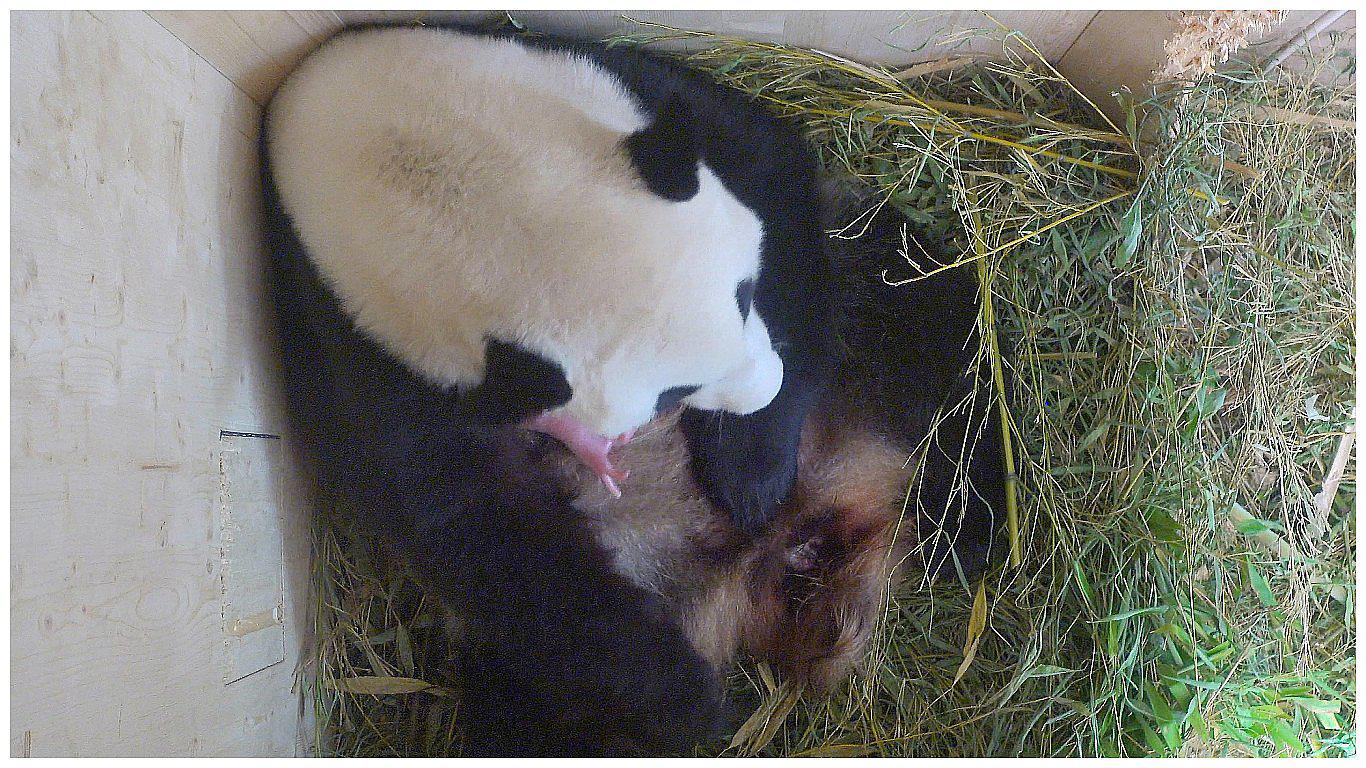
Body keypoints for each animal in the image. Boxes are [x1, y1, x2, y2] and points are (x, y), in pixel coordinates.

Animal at [261, 22, 833, 757]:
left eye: (742, 292)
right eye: (670, 392)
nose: (764, 388)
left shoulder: (614, 80)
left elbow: (773, 173)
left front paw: (753, 468)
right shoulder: (359, 341)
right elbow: (470, 522)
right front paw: (682, 694)